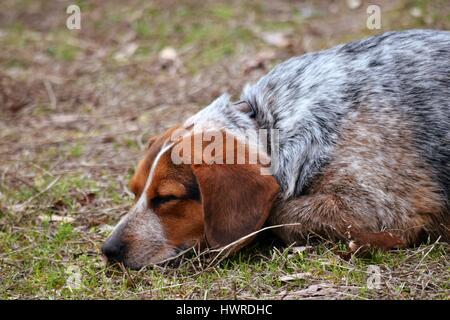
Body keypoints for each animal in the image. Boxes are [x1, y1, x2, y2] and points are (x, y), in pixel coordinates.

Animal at [103, 30, 450, 268]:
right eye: (135, 192)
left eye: (166, 198)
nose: (108, 250)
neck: (270, 124)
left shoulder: (383, 207)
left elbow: (279, 213)